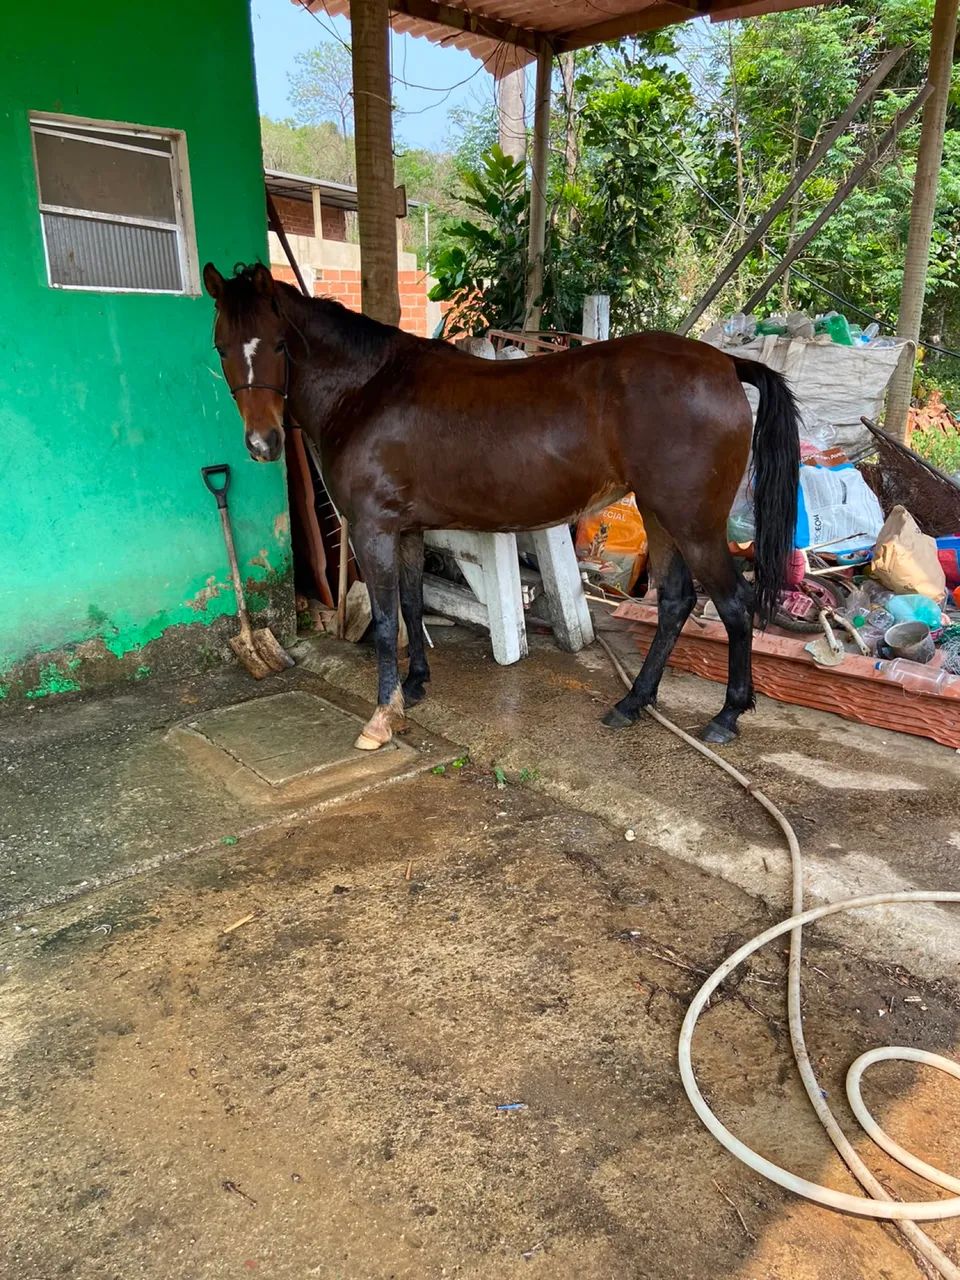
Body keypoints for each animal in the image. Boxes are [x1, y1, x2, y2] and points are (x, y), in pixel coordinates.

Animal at [203, 262, 799, 752]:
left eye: (280, 345)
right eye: (221, 348)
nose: (263, 443)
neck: (369, 388)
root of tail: (724, 364)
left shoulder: (373, 529)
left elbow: (385, 617)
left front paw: (382, 715)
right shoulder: (406, 529)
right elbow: (413, 605)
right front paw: (415, 684)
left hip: (693, 523)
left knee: (735, 605)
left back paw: (726, 716)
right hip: (660, 515)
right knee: (676, 602)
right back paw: (632, 703)